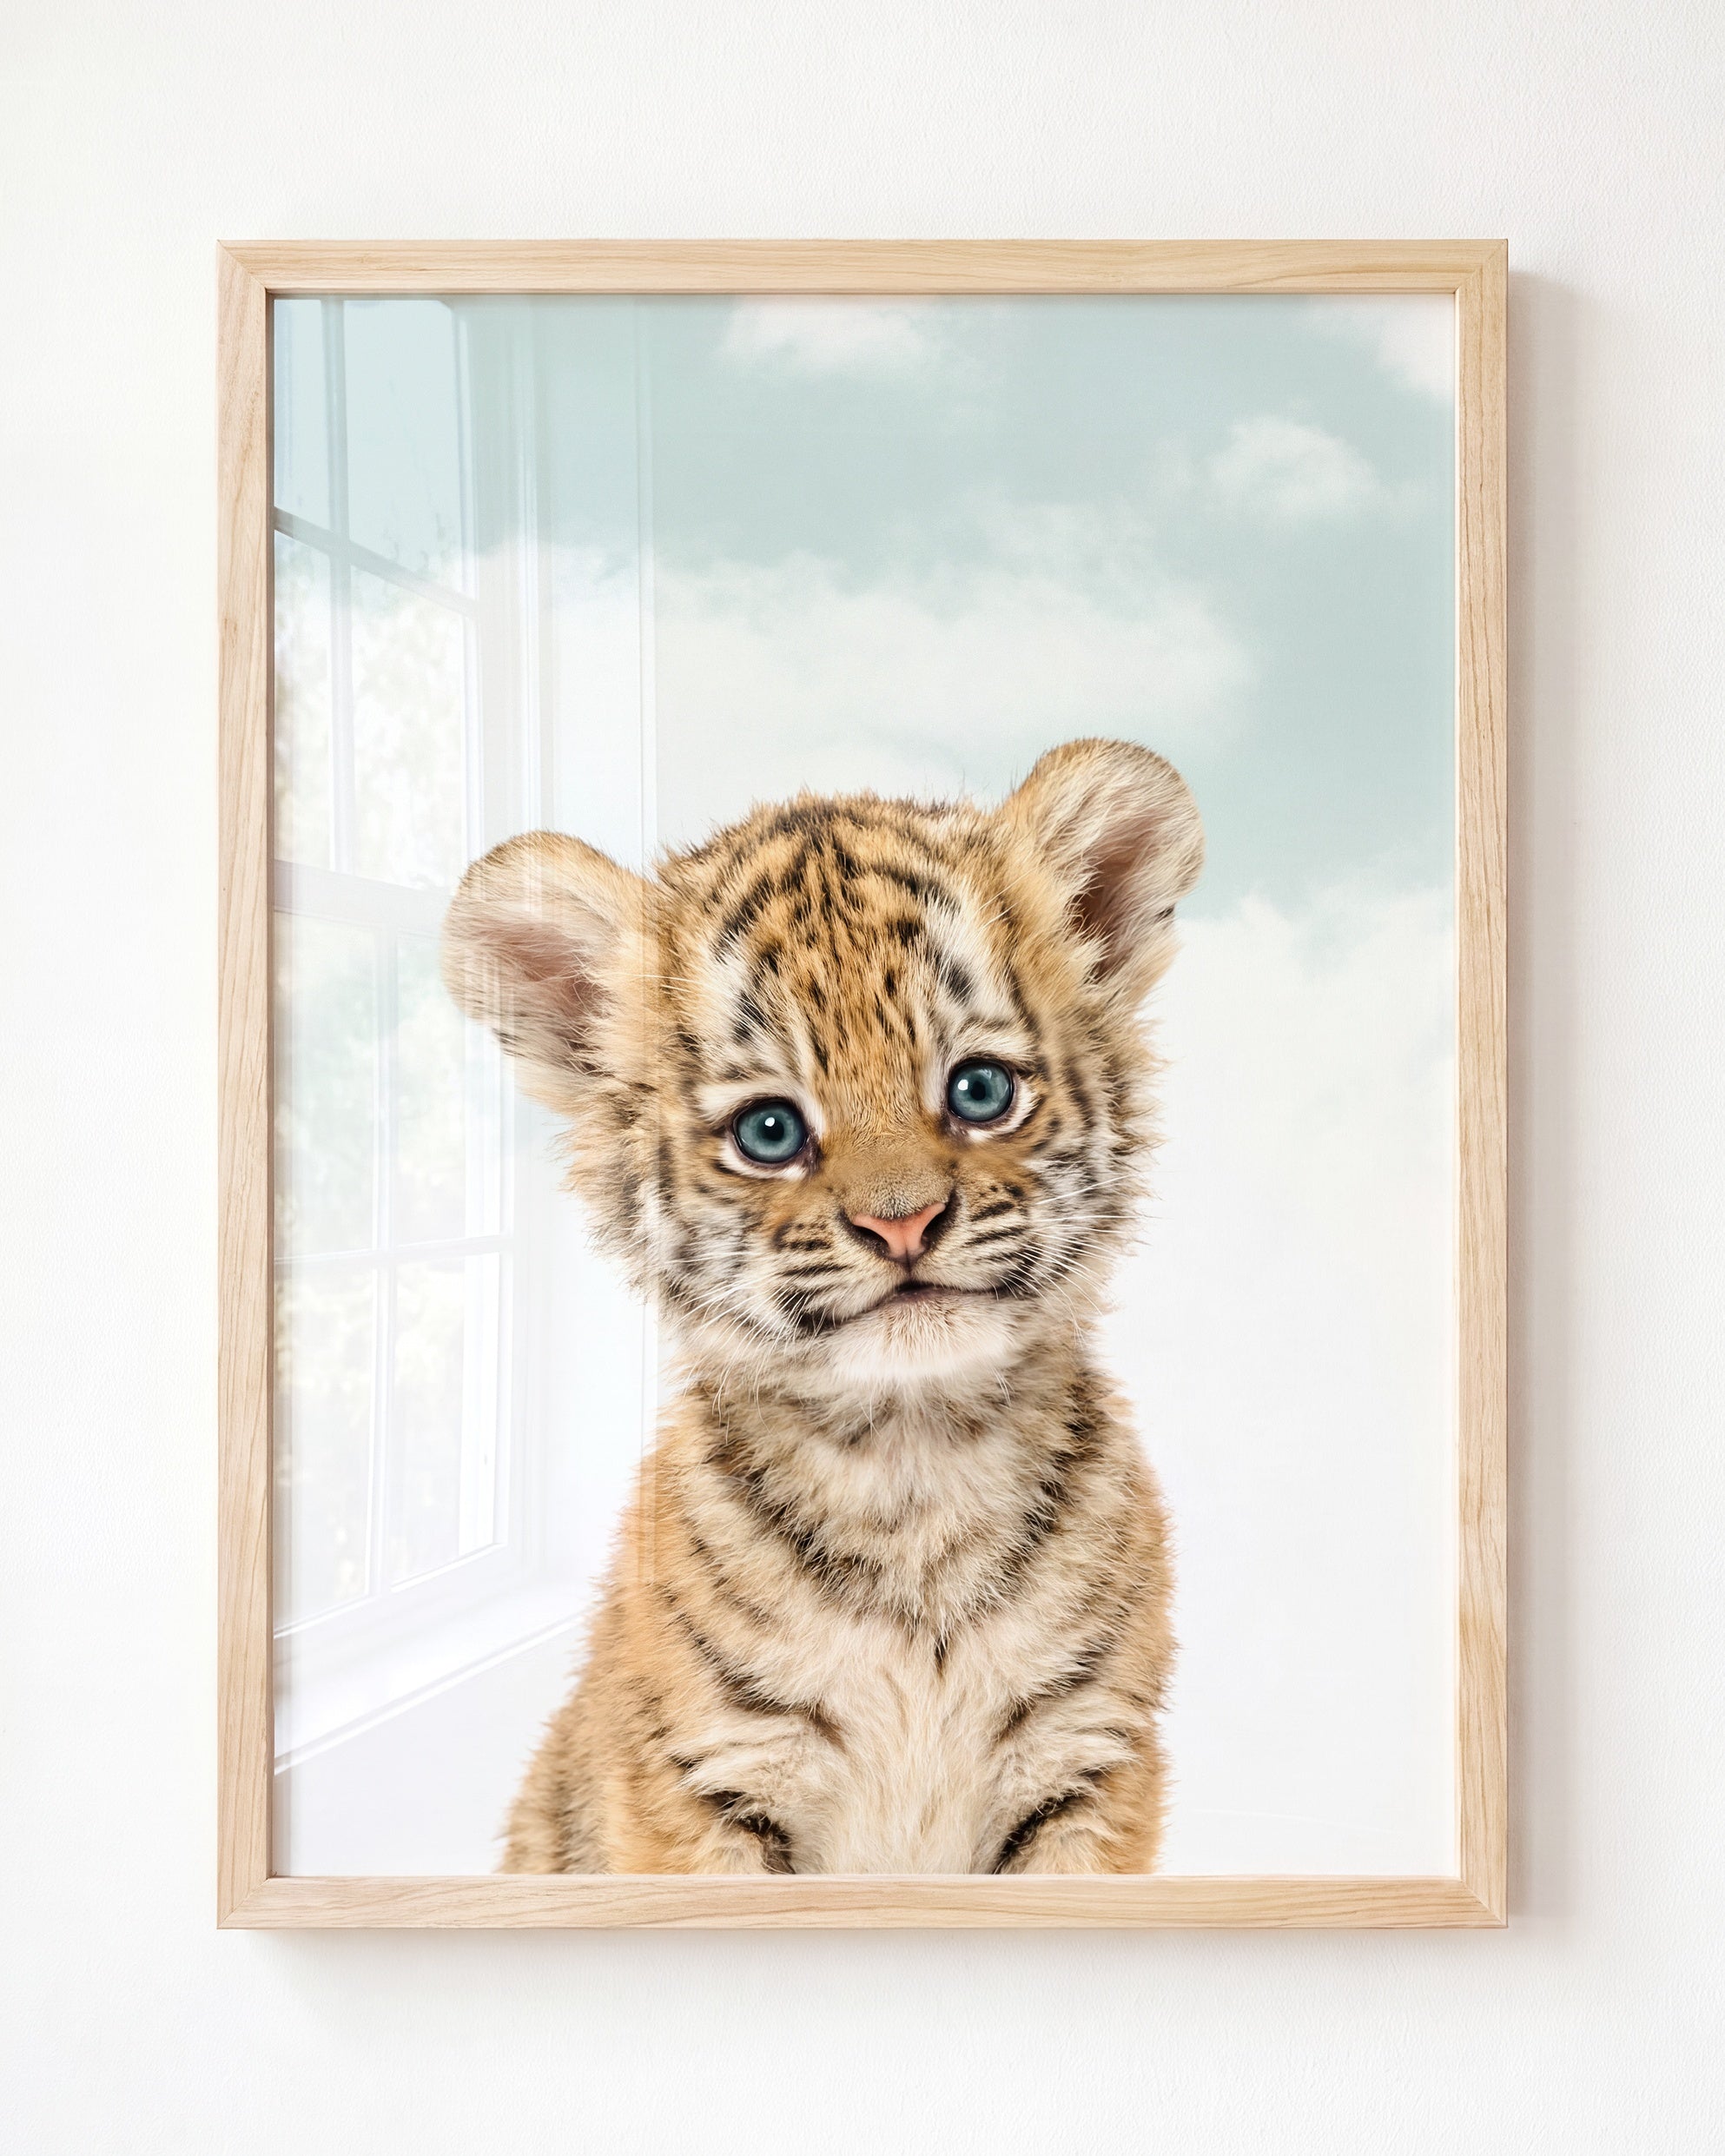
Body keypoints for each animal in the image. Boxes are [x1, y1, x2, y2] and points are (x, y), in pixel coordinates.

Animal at [441, 736, 1204, 1874]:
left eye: (981, 1091)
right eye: (769, 1130)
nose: (903, 1223)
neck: (914, 1467)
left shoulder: (1089, 1761)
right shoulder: (704, 1778)